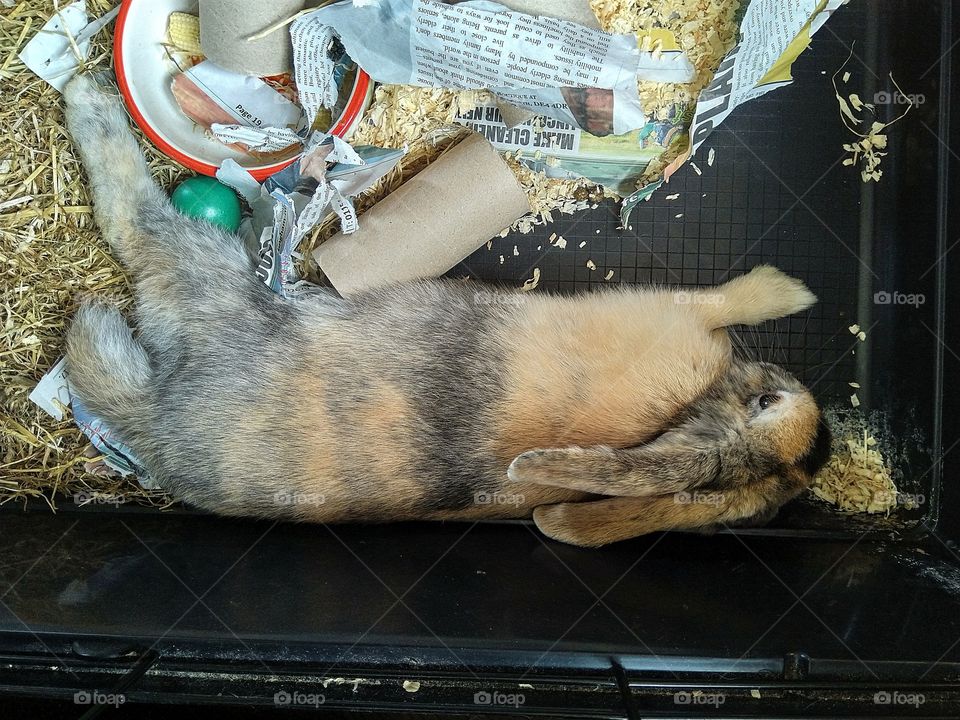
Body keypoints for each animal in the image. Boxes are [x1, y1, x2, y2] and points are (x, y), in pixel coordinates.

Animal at [61, 73, 830, 547]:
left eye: (768, 401)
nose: (790, 392)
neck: (691, 407)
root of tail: (155, 422)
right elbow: (729, 298)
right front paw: (798, 291)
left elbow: (726, 297)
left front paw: (785, 288)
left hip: (209, 274)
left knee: (134, 224)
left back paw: (86, 101)